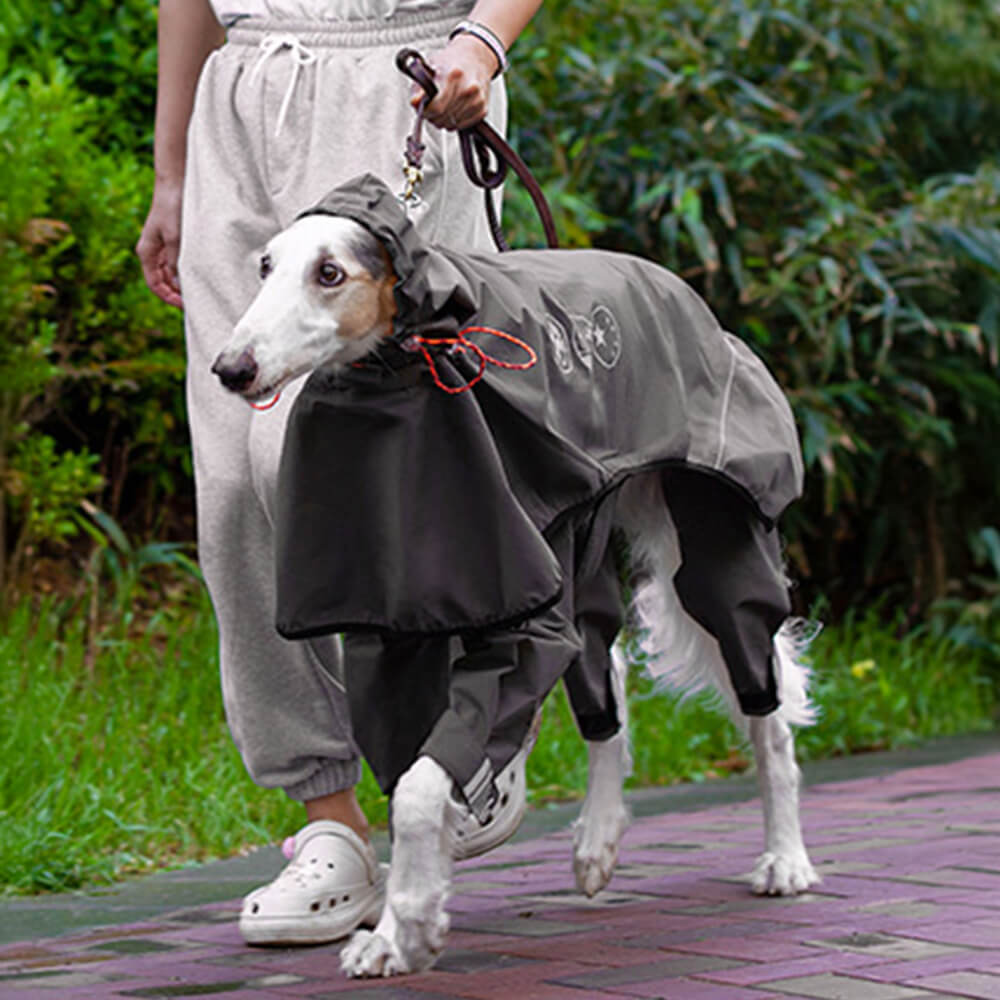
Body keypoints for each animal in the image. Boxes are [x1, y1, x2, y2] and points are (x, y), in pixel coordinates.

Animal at [213, 178, 820, 976]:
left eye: (330, 273)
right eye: (264, 266)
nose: (231, 368)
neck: (411, 366)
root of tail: (679, 291)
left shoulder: (519, 613)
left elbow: (418, 790)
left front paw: (404, 926)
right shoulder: (396, 619)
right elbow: (410, 777)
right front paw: (407, 925)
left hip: (712, 533)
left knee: (764, 700)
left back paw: (786, 859)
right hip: (577, 543)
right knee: (605, 671)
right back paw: (597, 839)